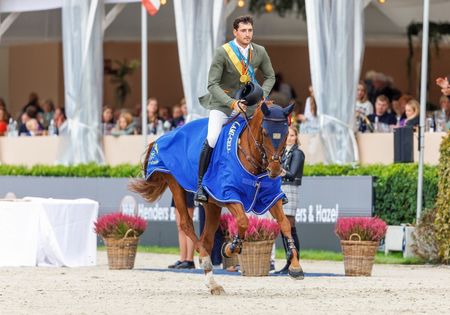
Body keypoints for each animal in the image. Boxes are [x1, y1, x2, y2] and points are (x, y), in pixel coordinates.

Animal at [131, 102, 306, 296]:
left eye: (286, 133)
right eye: (265, 132)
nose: (275, 170)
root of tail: (161, 138)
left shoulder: (271, 197)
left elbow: (285, 224)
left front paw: (295, 267)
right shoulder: (228, 193)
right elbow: (243, 221)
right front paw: (230, 248)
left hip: (212, 205)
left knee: (207, 238)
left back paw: (212, 281)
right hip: (176, 184)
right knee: (186, 224)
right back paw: (205, 259)